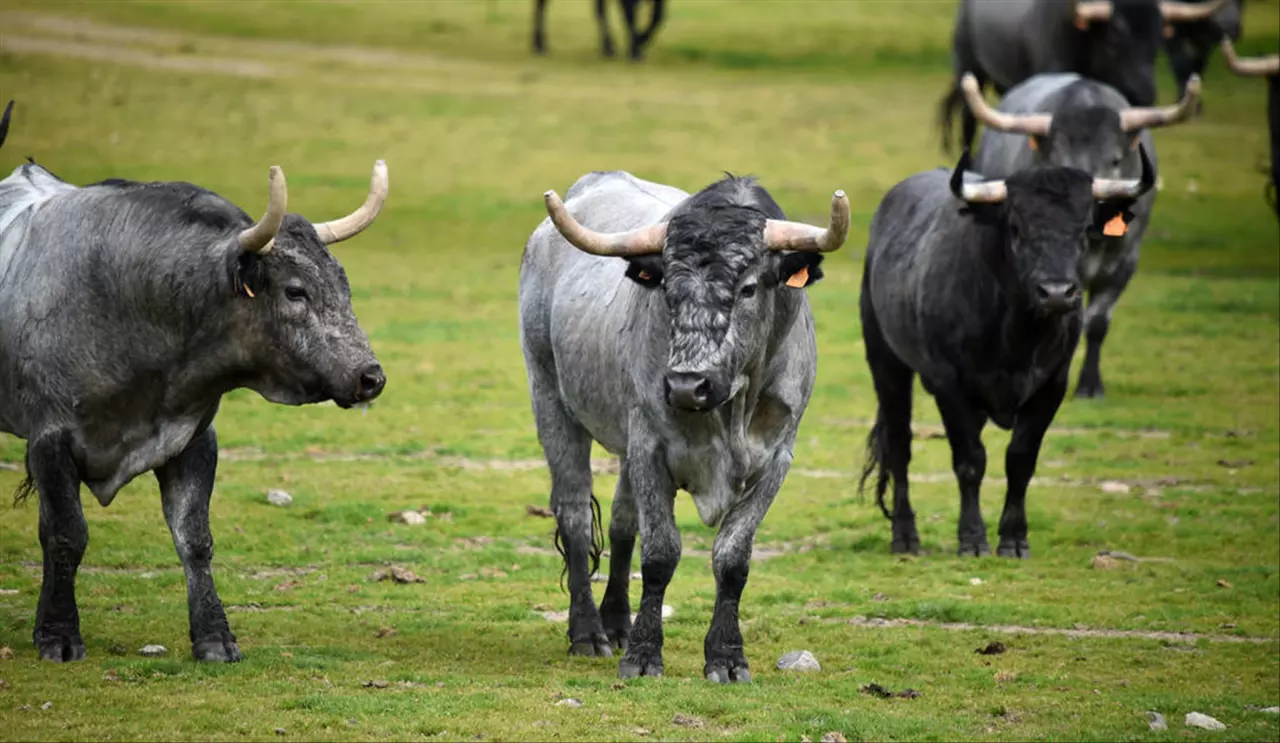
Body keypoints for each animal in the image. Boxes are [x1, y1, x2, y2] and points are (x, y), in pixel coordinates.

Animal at [0, 103, 389, 661]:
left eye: (345, 285)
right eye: (295, 292)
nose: (370, 377)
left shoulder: (191, 440)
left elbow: (195, 539)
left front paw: (214, 635)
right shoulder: (50, 441)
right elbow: (66, 534)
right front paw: (57, 634)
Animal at [514, 167, 844, 681]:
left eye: (749, 288)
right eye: (667, 288)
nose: (688, 385)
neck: (731, 408)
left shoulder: (776, 459)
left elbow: (732, 557)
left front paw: (726, 656)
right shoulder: (652, 446)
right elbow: (660, 553)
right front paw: (644, 655)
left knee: (623, 520)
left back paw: (616, 622)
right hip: (549, 396)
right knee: (574, 515)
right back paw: (588, 632)